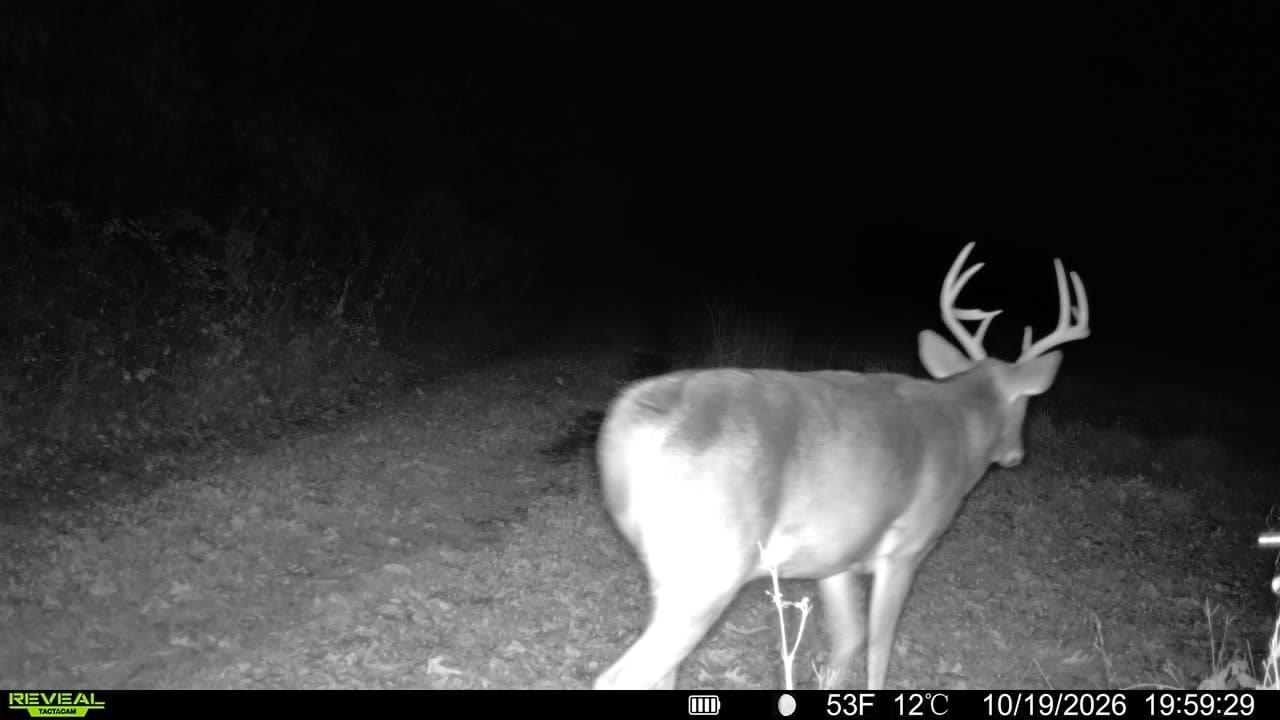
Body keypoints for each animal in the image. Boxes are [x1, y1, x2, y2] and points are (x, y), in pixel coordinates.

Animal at [593, 242, 1089, 690]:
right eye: (1027, 402)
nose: (1017, 454)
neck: (960, 427)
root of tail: (636, 417)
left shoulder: (835, 557)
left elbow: (847, 642)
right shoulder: (906, 549)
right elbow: (878, 650)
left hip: (672, 570)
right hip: (710, 567)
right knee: (620, 678)